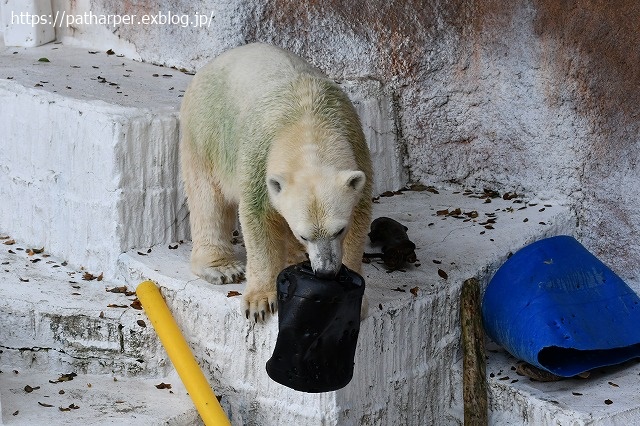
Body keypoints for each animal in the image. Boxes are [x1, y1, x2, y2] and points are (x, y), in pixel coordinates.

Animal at [178, 44, 372, 322]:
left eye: (338, 230)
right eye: (305, 235)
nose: (325, 271)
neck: (308, 121)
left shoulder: (356, 146)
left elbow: (358, 220)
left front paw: (360, 300)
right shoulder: (259, 159)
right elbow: (259, 219)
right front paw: (259, 302)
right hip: (206, 130)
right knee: (207, 197)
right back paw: (222, 267)